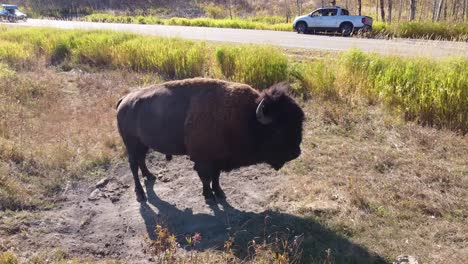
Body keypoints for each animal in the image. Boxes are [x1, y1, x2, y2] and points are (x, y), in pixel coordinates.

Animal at [116, 77, 306, 201]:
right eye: (278, 130)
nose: (295, 153)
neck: (247, 117)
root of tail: (124, 100)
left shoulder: (218, 159)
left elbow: (216, 177)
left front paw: (219, 192)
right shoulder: (203, 159)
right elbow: (205, 177)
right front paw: (208, 195)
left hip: (142, 144)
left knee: (141, 161)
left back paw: (150, 176)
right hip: (131, 144)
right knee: (133, 165)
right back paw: (140, 194)